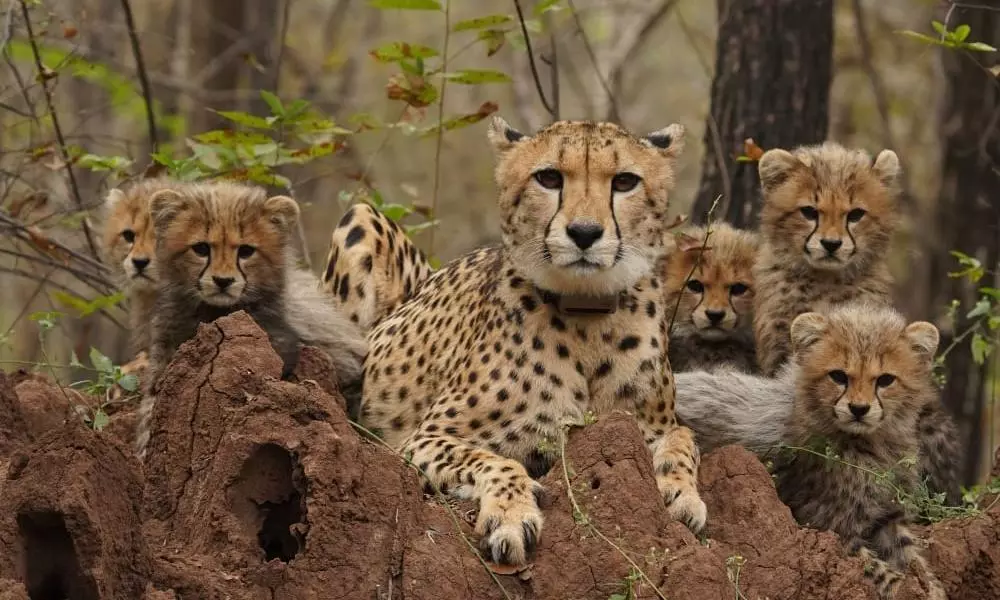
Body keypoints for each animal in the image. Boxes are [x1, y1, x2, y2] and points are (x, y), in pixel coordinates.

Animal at [330, 117, 708, 566]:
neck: (587, 317)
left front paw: (682, 491)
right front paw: (511, 514)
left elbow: (683, 439)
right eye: (549, 178)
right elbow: (494, 460)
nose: (584, 233)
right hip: (360, 215)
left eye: (625, 181)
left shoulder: (647, 424)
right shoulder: (419, 439)